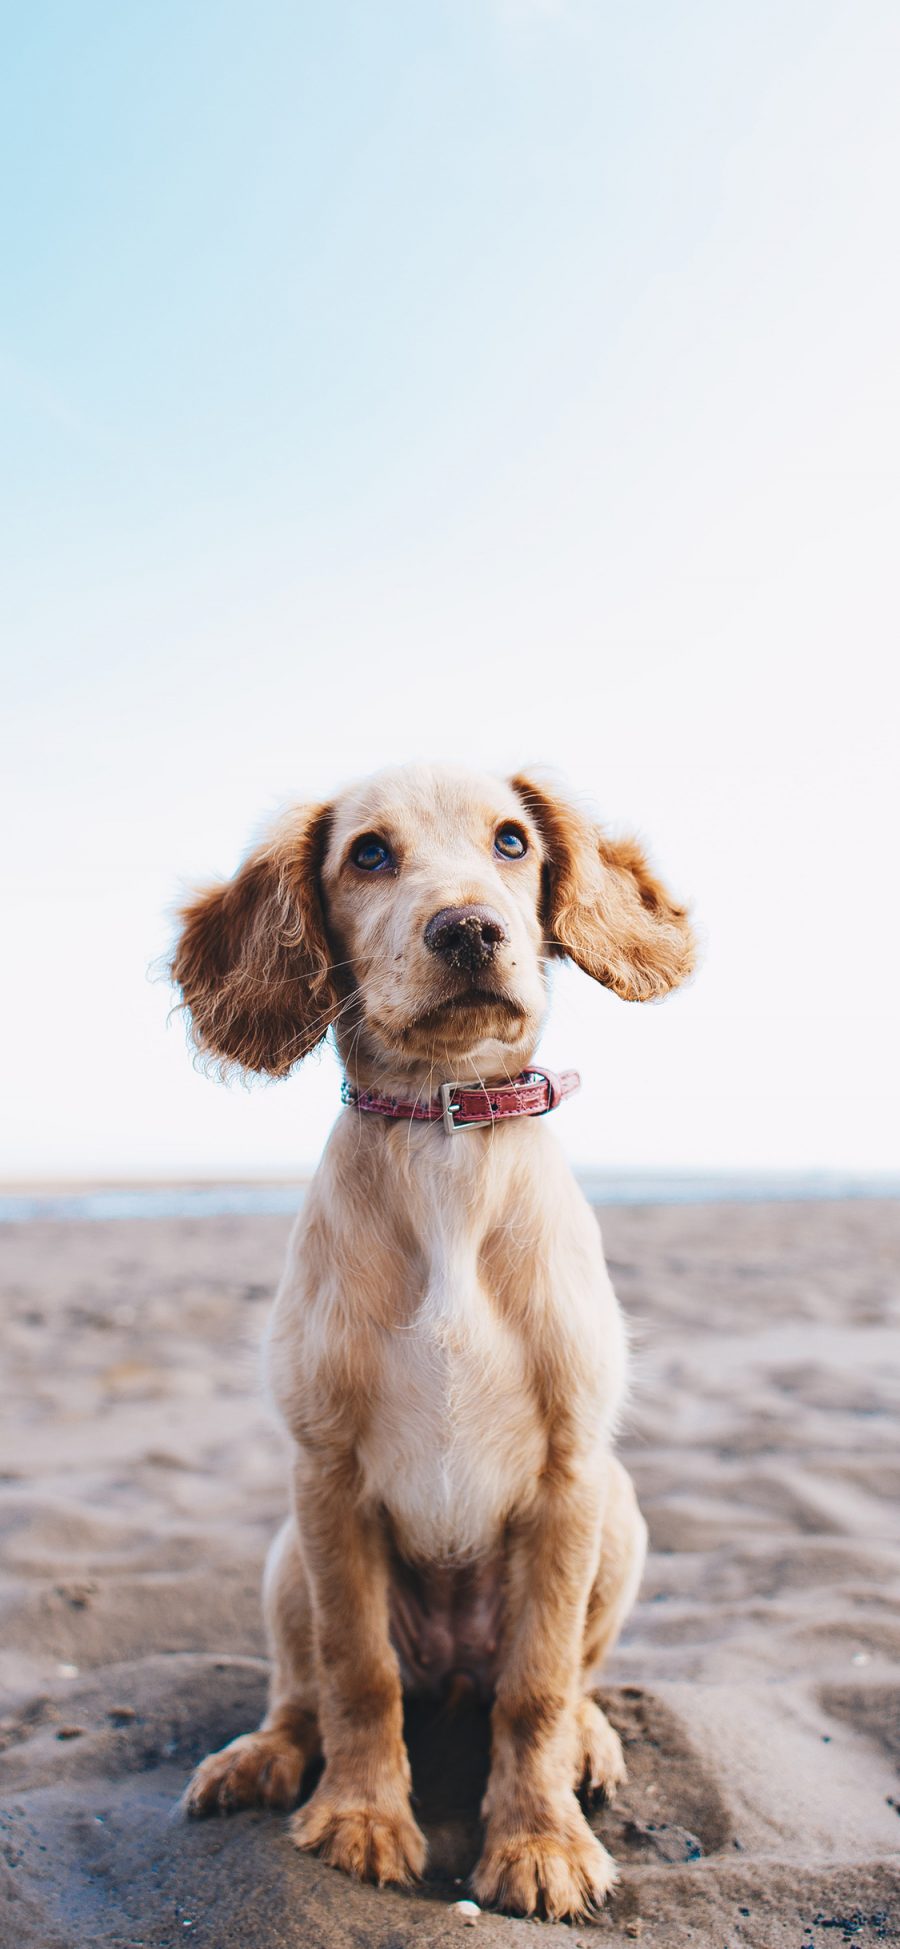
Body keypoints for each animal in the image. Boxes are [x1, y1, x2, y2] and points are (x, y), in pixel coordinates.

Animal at [175, 764, 697, 1917]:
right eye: (368, 854)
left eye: (511, 841)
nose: (468, 929)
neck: (443, 1134)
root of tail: (453, 1669)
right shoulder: (326, 1473)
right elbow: (356, 1669)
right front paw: (362, 1815)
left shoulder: (571, 1475)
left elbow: (537, 1686)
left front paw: (539, 1841)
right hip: (287, 1554)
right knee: (304, 1686)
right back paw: (262, 1754)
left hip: (623, 1515)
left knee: (565, 1677)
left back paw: (589, 1741)